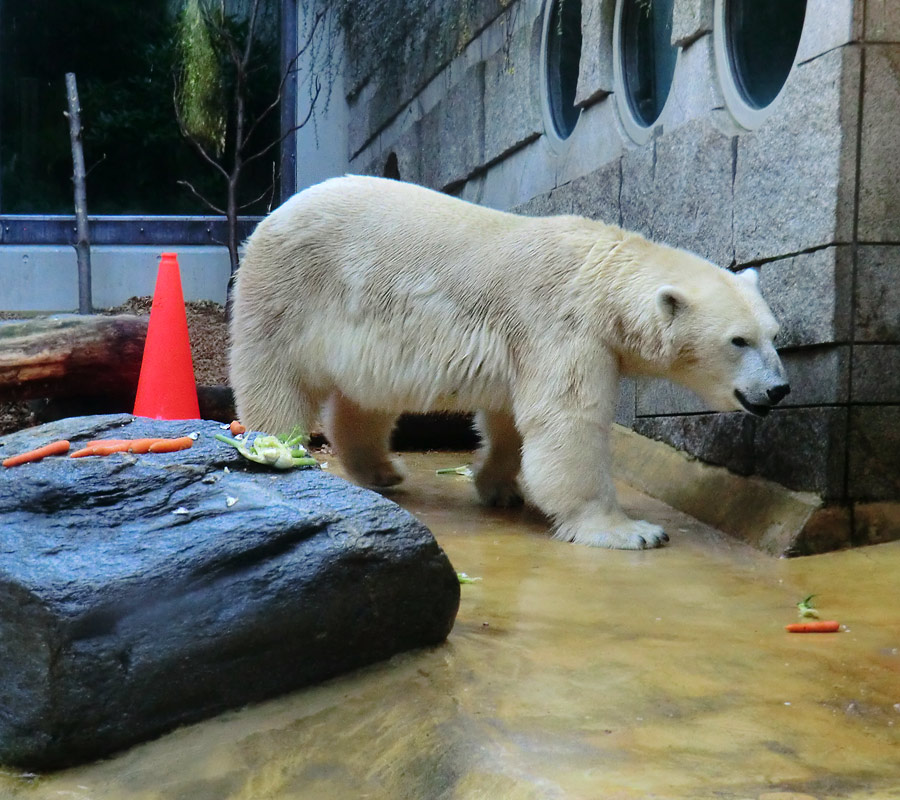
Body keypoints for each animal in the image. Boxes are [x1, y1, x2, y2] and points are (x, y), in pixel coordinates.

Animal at [230, 177, 788, 552]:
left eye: (774, 335)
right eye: (738, 340)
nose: (778, 389)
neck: (601, 274)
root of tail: (271, 216)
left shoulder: (525, 341)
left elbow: (511, 418)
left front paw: (499, 488)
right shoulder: (564, 326)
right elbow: (569, 421)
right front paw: (629, 530)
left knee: (365, 399)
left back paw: (382, 469)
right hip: (290, 291)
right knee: (276, 378)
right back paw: (280, 447)